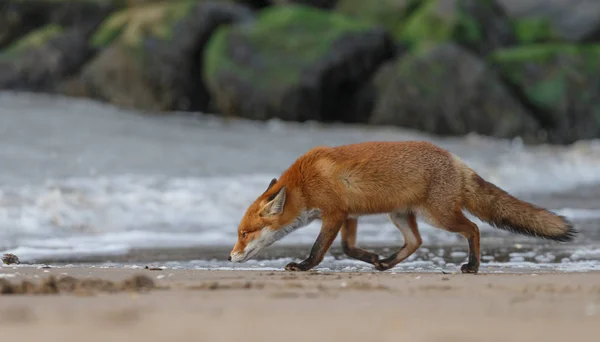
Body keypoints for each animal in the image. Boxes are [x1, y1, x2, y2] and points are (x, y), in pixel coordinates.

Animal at [227, 141, 576, 272]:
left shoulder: (335, 213)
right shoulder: (349, 214)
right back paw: (387, 262)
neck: (304, 182)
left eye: (244, 233)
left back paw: (473, 265)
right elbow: (348, 248)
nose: (230, 257)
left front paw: (303, 266)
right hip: (400, 215)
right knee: (415, 241)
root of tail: (456, 160)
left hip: (439, 216)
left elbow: (320, 248)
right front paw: (371, 258)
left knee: (474, 228)